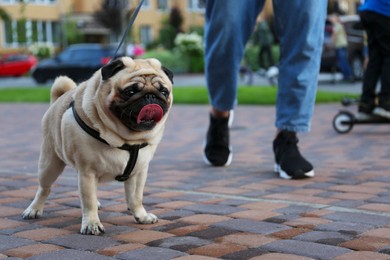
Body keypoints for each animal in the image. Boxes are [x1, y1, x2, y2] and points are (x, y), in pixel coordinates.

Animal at [21, 57, 174, 236]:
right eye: (130, 91)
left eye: (164, 91)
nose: (151, 96)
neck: (127, 139)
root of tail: (56, 100)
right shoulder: (87, 172)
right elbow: (88, 201)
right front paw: (91, 223)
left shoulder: (139, 172)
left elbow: (136, 198)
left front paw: (141, 216)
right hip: (49, 164)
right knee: (44, 188)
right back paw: (34, 209)